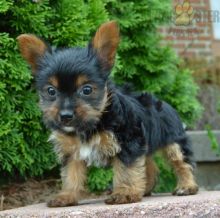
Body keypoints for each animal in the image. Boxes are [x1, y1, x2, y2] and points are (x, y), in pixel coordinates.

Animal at [17, 21, 199, 207]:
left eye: (87, 90)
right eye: (51, 91)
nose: (66, 115)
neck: (94, 122)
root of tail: (163, 102)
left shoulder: (128, 141)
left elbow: (127, 169)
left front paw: (125, 193)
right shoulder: (72, 152)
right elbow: (71, 174)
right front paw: (66, 196)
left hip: (173, 141)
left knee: (182, 162)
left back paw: (187, 186)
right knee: (149, 165)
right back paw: (145, 188)